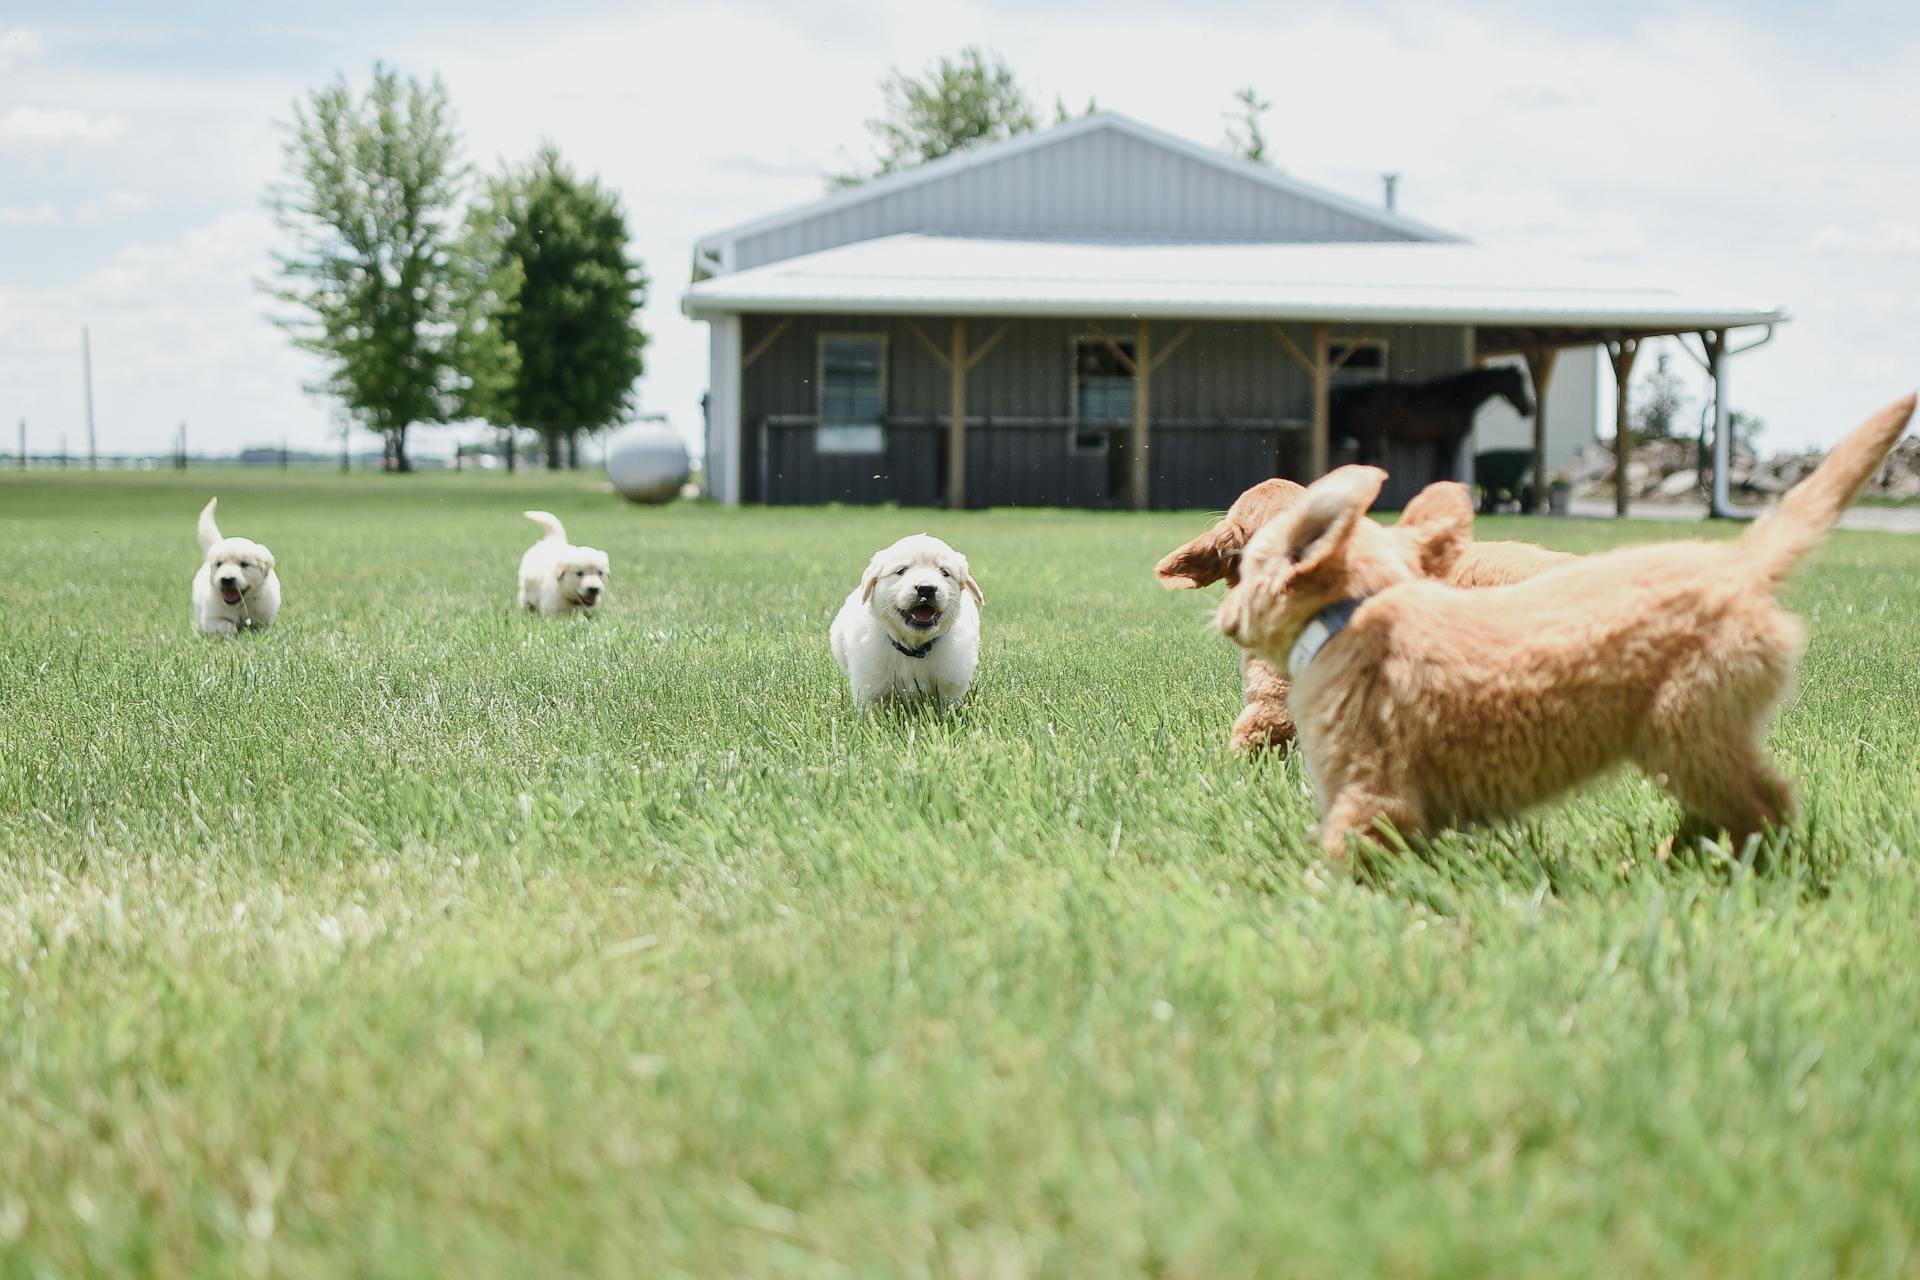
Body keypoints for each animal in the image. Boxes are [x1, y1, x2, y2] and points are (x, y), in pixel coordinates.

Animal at [191, 495, 280, 637]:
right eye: (219, 564)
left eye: (244, 564)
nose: (227, 579)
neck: (241, 606)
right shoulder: (210, 620)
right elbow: (228, 626)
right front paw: (235, 631)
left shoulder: (266, 619)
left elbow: (261, 627)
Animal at [825, 529, 983, 710]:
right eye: (901, 571)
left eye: (945, 572)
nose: (926, 589)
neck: (914, 648)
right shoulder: (869, 687)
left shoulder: (951, 685)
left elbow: (946, 709)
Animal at [1328, 370, 1536, 495]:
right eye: (1518, 384)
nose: (1529, 410)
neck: (1458, 398)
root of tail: (1357, 393)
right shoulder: (1451, 441)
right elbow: (1447, 469)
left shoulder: (1440, 442)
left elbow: (1437, 471)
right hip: (1370, 439)